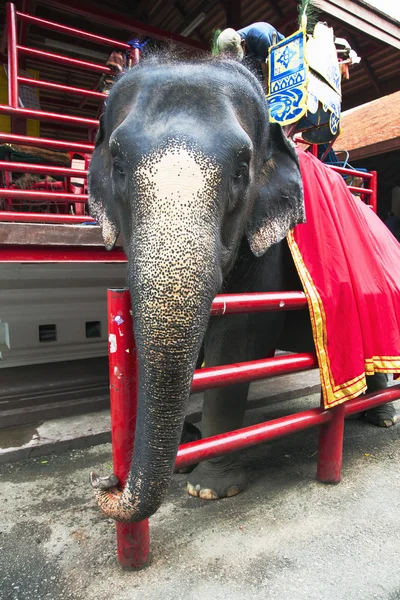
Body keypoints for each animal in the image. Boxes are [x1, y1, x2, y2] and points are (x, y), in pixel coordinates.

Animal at [87, 52, 396, 520]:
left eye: (239, 172)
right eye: (119, 167)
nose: (104, 481)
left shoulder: (264, 254)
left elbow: (237, 342)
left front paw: (209, 489)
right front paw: (186, 451)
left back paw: (382, 418)